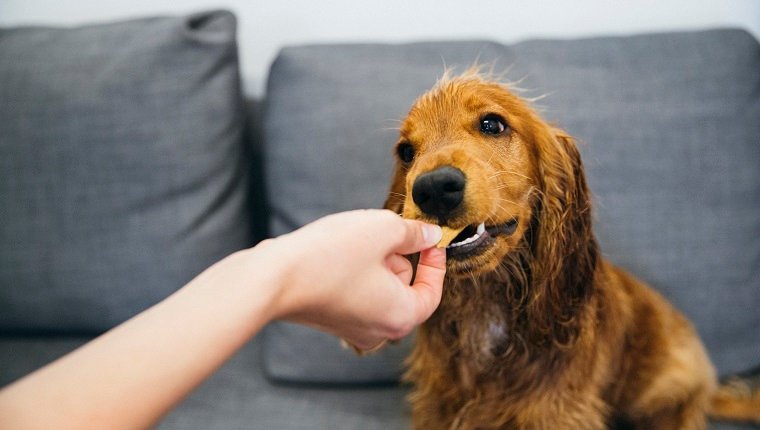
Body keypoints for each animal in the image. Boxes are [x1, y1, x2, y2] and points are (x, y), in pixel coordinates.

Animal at [382, 70, 756, 430]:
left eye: (492, 124)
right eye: (406, 152)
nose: (433, 188)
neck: (485, 306)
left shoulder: (559, 412)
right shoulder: (438, 407)